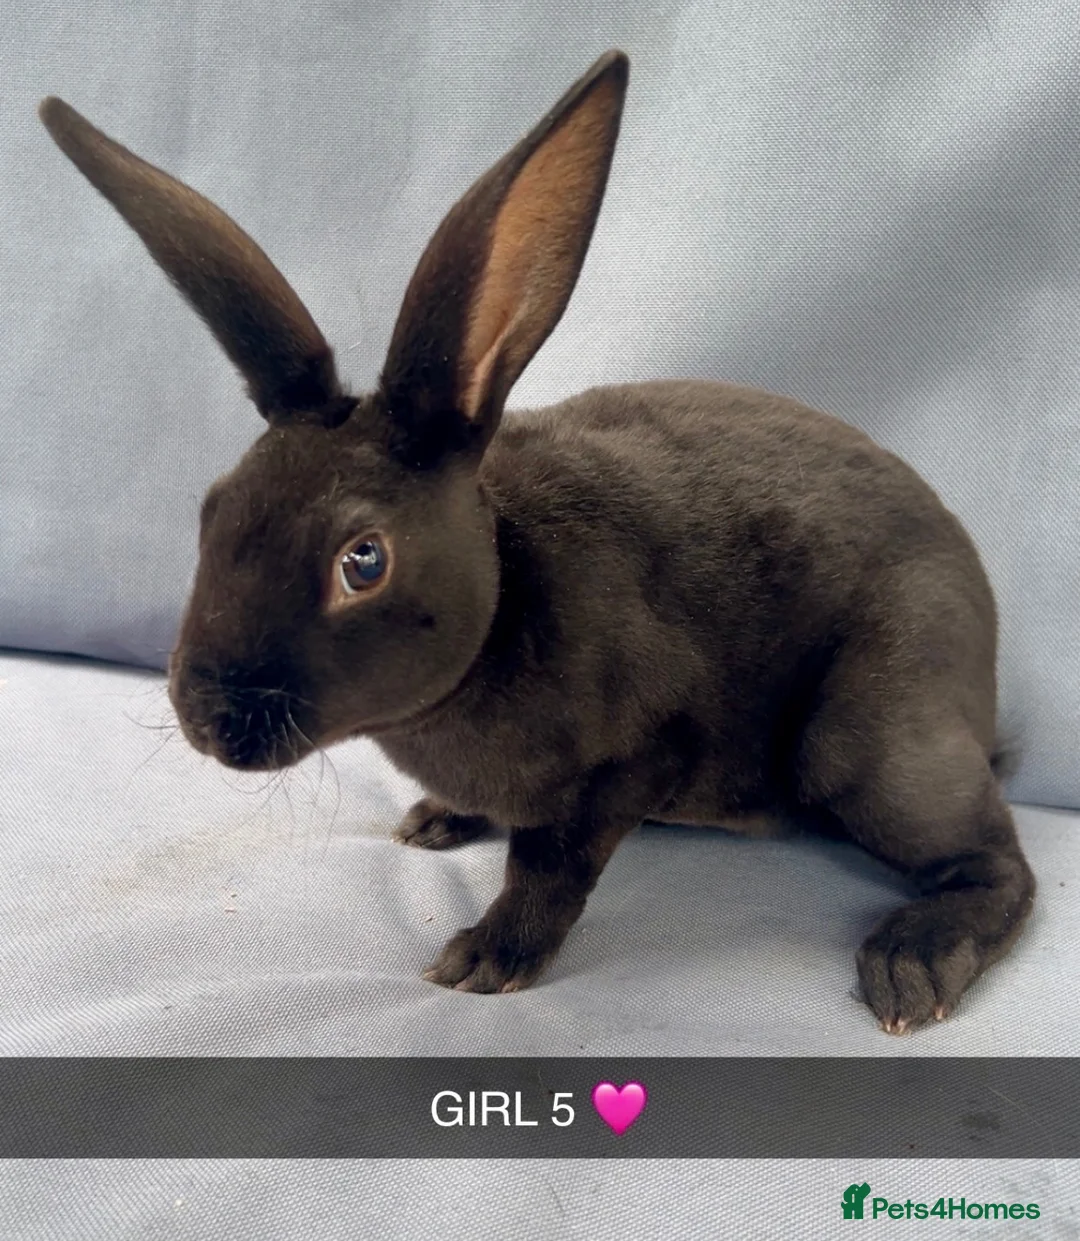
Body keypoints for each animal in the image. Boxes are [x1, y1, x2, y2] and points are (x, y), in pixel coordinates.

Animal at [39, 49, 1035, 1033]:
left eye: (363, 561)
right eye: (211, 511)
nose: (207, 718)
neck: (499, 595)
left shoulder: (628, 761)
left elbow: (549, 870)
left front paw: (484, 959)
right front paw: (436, 820)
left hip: (871, 735)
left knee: (1001, 866)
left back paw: (911, 965)